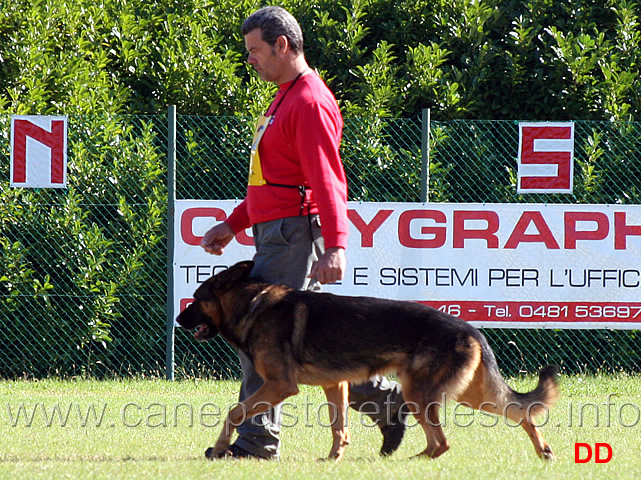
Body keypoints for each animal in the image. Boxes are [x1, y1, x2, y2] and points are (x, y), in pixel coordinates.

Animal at [178, 262, 556, 462]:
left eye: (196, 298)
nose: (179, 320)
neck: (253, 305)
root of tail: (470, 329)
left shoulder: (280, 385)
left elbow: (235, 412)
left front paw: (220, 447)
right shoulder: (336, 384)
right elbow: (339, 426)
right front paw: (334, 458)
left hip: (421, 395)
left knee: (442, 442)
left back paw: (411, 461)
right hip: (471, 394)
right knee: (520, 412)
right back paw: (544, 451)